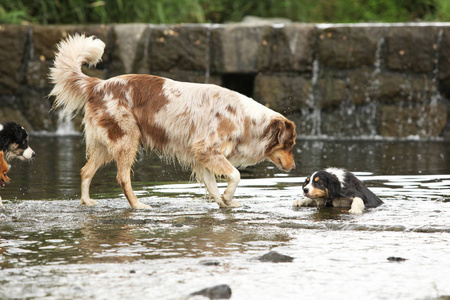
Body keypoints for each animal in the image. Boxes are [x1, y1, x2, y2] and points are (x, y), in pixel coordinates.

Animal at [49, 34, 298, 209]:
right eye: (289, 145)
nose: (295, 167)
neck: (245, 120)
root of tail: (98, 84)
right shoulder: (207, 149)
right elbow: (235, 175)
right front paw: (228, 197)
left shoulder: (202, 157)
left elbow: (213, 186)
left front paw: (225, 202)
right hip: (127, 140)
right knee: (122, 178)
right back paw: (138, 206)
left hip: (107, 144)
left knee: (85, 171)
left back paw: (87, 202)